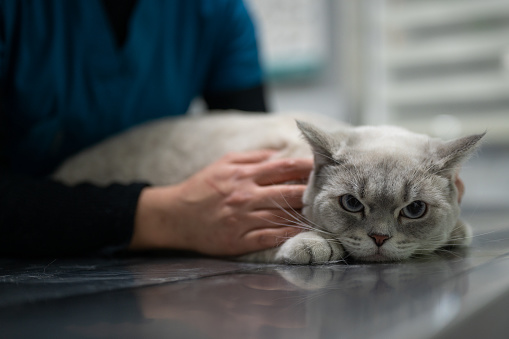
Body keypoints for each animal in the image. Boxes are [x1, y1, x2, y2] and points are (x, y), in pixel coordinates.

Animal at [52, 112, 484, 266]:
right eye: (351, 203)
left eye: (414, 210)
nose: (379, 238)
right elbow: (298, 237)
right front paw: (313, 247)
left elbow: (457, 234)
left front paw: (456, 234)